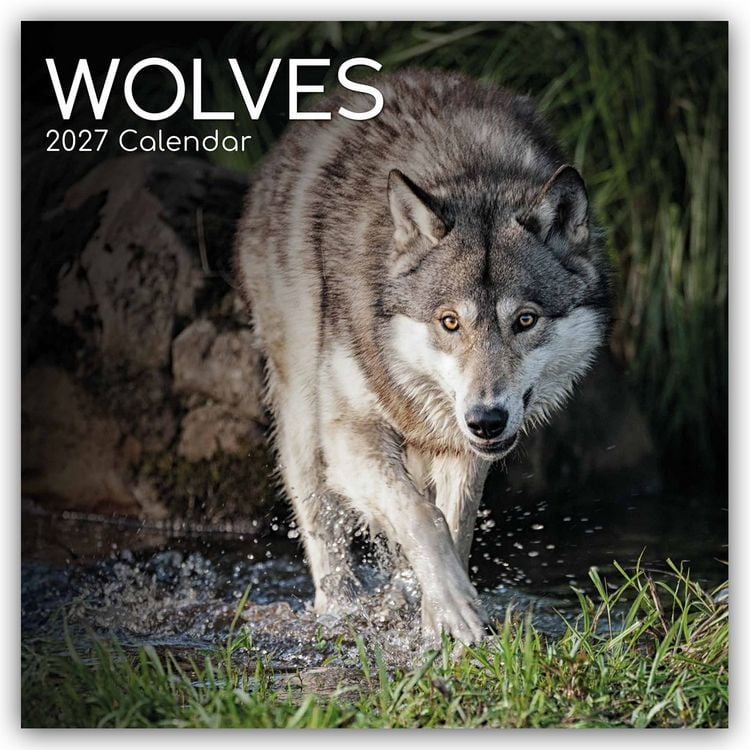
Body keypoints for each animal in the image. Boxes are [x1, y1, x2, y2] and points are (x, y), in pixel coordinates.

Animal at [234, 69, 610, 643]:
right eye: (450, 322)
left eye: (525, 320)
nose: (486, 419)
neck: (470, 169)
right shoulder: (348, 432)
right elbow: (421, 516)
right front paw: (451, 604)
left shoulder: (462, 449)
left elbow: (452, 525)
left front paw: (437, 624)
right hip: (302, 418)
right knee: (322, 519)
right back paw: (338, 611)